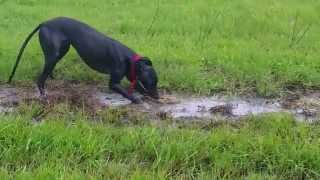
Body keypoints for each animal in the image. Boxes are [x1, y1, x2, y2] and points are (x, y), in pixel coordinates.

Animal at [9, 17, 160, 103]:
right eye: (151, 82)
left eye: (156, 82)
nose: (158, 97)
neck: (130, 59)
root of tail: (45, 23)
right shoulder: (114, 83)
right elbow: (124, 91)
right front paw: (135, 99)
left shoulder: (131, 74)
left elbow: (139, 86)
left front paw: (145, 94)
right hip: (54, 54)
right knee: (40, 80)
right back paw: (44, 96)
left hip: (60, 51)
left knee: (47, 71)